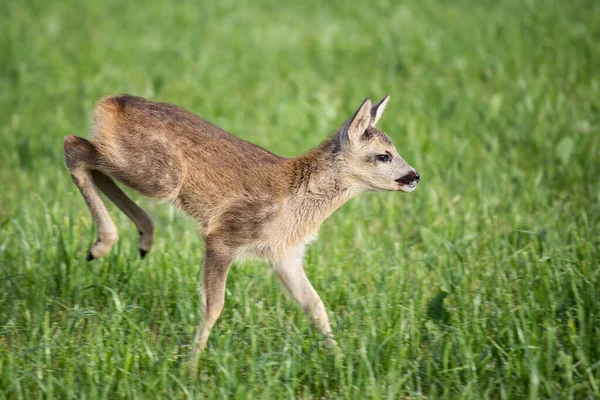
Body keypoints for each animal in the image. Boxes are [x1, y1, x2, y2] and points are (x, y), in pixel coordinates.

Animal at [63, 94, 420, 368]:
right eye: (383, 155)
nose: (415, 176)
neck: (295, 201)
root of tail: (113, 101)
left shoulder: (284, 254)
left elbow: (315, 306)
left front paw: (341, 360)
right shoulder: (224, 236)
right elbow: (214, 306)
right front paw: (190, 367)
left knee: (91, 161)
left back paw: (140, 236)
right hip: (161, 177)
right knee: (74, 145)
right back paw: (104, 244)